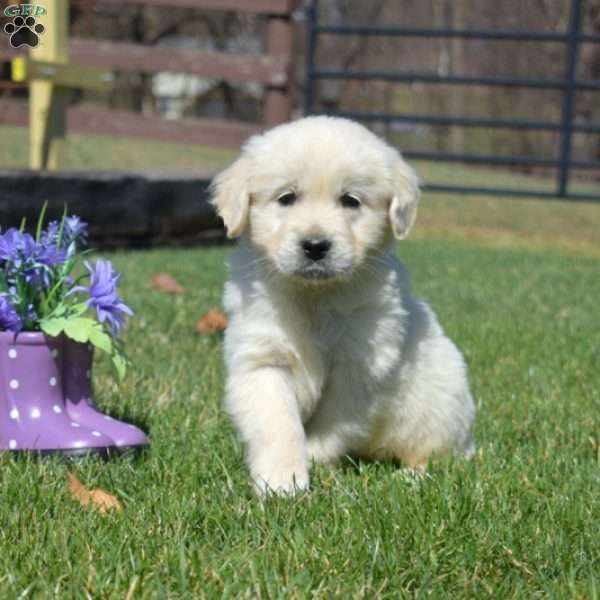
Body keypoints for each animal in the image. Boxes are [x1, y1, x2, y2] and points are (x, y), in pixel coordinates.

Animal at [209, 115, 476, 494]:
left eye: (351, 200)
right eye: (287, 197)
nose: (315, 246)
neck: (315, 297)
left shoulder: (360, 368)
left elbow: (332, 424)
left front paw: (315, 460)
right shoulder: (264, 359)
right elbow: (277, 423)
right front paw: (282, 481)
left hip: (440, 402)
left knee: (439, 458)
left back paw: (408, 477)